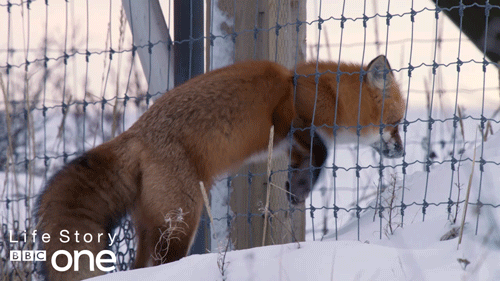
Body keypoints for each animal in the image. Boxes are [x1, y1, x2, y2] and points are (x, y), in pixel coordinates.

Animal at [34, 55, 402, 278]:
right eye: (397, 122)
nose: (400, 150)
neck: (326, 92)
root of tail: (135, 134)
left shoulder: (291, 141)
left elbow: (309, 159)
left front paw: (297, 188)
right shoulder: (289, 115)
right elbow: (322, 151)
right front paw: (299, 189)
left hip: (151, 224)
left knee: (140, 266)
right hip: (182, 220)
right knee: (163, 263)